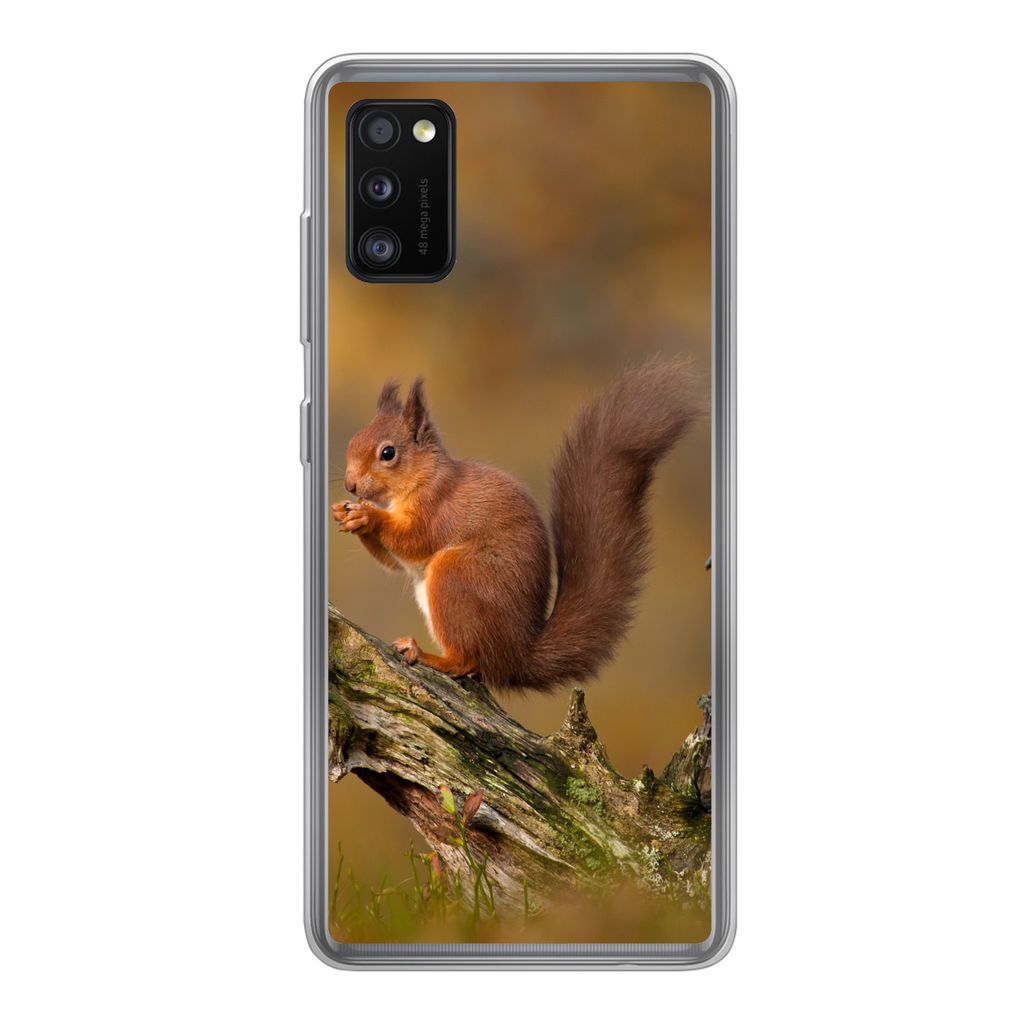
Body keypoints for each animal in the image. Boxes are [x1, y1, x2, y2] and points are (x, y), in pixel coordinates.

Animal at [331, 359, 699, 692]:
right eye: (351, 443)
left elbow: (414, 540)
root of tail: (516, 656)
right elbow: (395, 563)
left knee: (466, 660)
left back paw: (426, 655)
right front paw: (346, 513)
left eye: (388, 453)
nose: (350, 485)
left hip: (457, 575)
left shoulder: (438, 508)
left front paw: (368, 515)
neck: (423, 478)